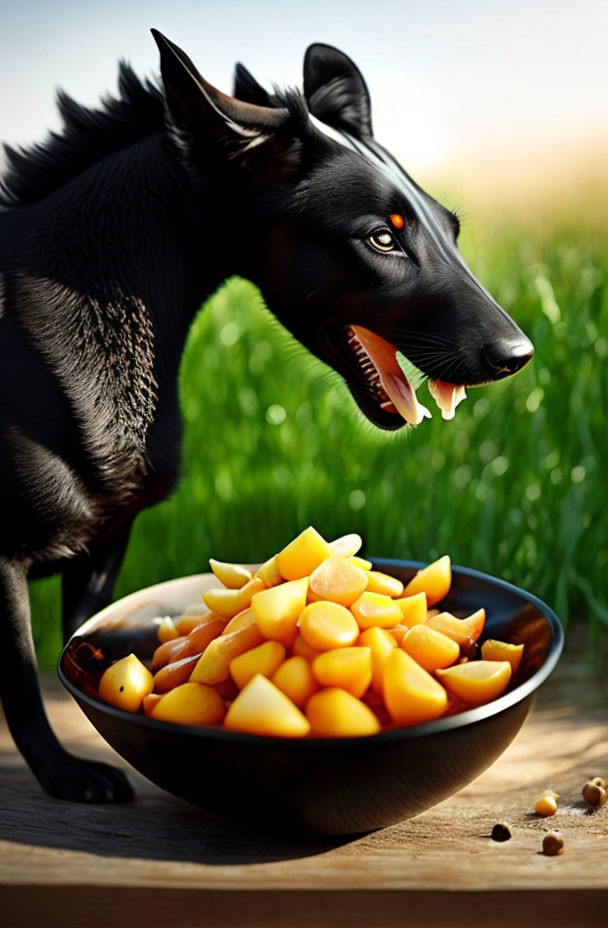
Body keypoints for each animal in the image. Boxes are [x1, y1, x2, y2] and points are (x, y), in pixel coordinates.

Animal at [0, 32, 532, 800]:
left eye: (452, 229)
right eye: (382, 238)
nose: (521, 356)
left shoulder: (107, 544)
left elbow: (80, 641)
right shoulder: (6, 559)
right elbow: (21, 679)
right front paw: (66, 772)